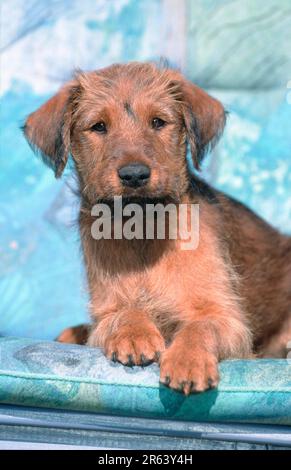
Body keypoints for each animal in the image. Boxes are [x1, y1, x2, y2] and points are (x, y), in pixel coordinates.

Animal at [23, 61, 291, 392]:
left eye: (158, 122)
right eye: (99, 126)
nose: (134, 175)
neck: (143, 231)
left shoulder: (226, 317)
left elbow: (199, 326)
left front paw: (188, 360)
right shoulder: (106, 312)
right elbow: (124, 311)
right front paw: (134, 333)